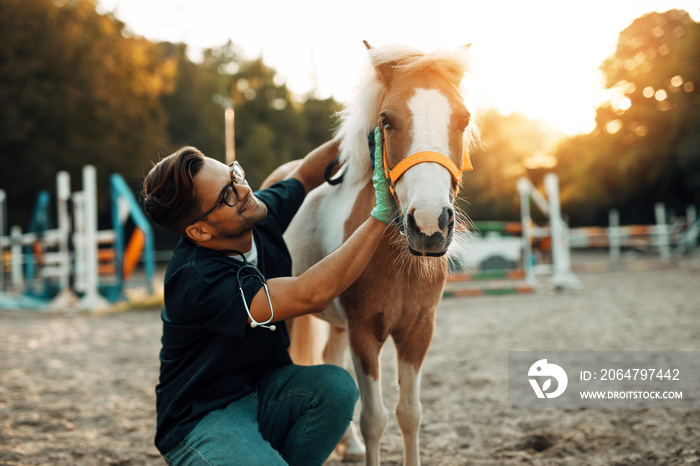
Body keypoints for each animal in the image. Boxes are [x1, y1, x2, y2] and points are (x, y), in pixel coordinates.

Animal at [266, 41, 478, 464]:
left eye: (463, 119)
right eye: (387, 121)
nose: (429, 224)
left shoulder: (418, 330)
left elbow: (410, 414)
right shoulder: (364, 332)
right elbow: (374, 418)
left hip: (336, 325)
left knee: (331, 358)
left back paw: (348, 447)